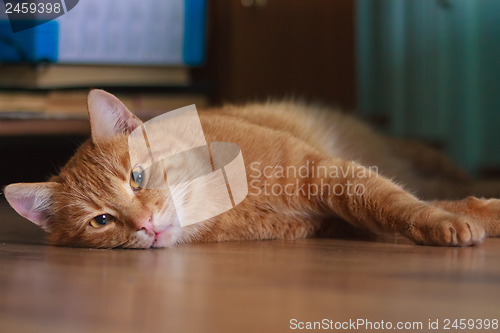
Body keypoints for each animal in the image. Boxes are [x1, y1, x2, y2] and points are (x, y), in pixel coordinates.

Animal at [3, 89, 500, 248]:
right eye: (101, 220)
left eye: (137, 178)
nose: (145, 224)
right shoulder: (340, 219)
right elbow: (401, 206)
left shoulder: (329, 172)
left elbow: (398, 202)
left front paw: (463, 218)